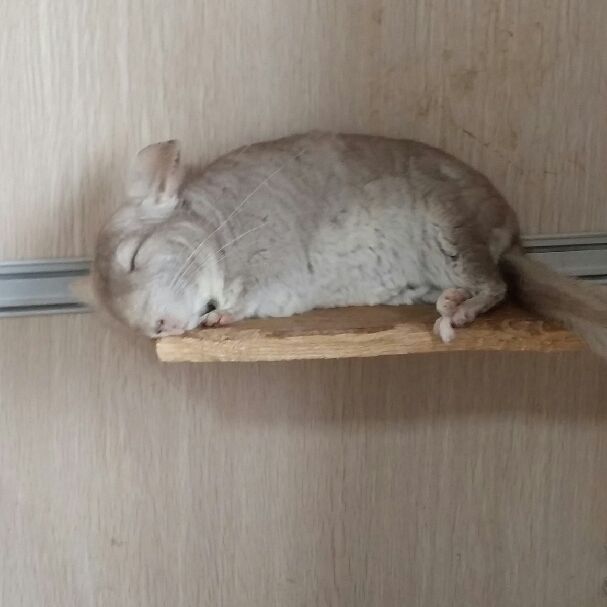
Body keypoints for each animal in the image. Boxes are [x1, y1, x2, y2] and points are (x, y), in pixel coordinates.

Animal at [86, 131, 607, 355]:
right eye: (121, 320)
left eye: (134, 257)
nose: (156, 329)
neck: (218, 229)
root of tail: (511, 234)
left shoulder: (271, 267)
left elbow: (246, 301)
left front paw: (218, 317)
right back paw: (449, 302)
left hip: (453, 229)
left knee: (497, 285)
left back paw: (458, 313)